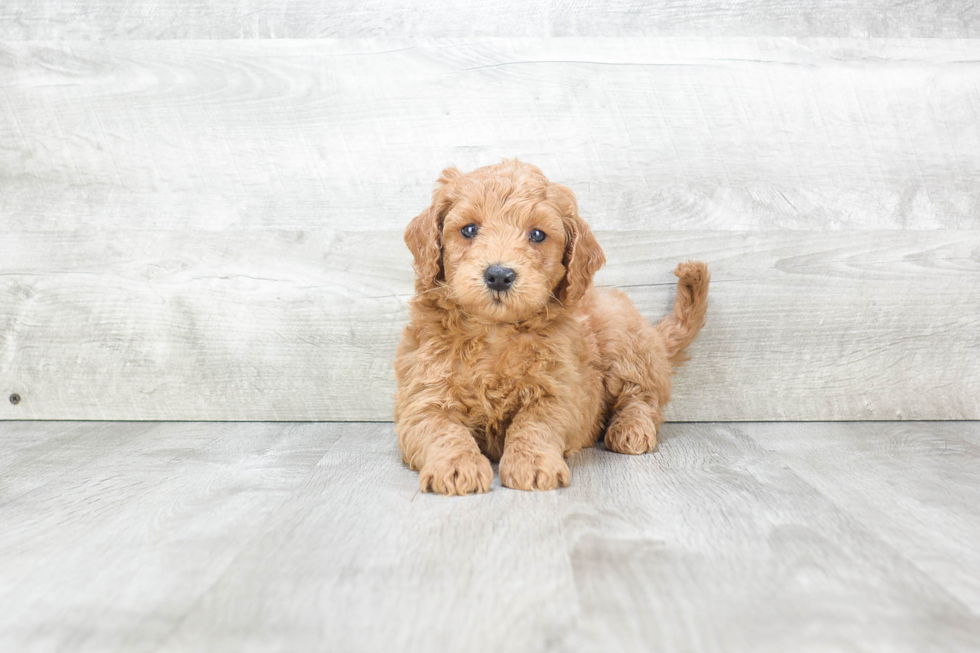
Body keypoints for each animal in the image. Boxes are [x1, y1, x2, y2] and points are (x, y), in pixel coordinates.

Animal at [394, 159, 708, 494]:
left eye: (537, 234)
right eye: (468, 229)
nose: (499, 275)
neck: (495, 331)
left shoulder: (558, 392)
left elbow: (535, 423)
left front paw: (532, 463)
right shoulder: (423, 395)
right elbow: (442, 428)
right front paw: (456, 466)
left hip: (622, 339)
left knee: (641, 397)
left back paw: (630, 429)